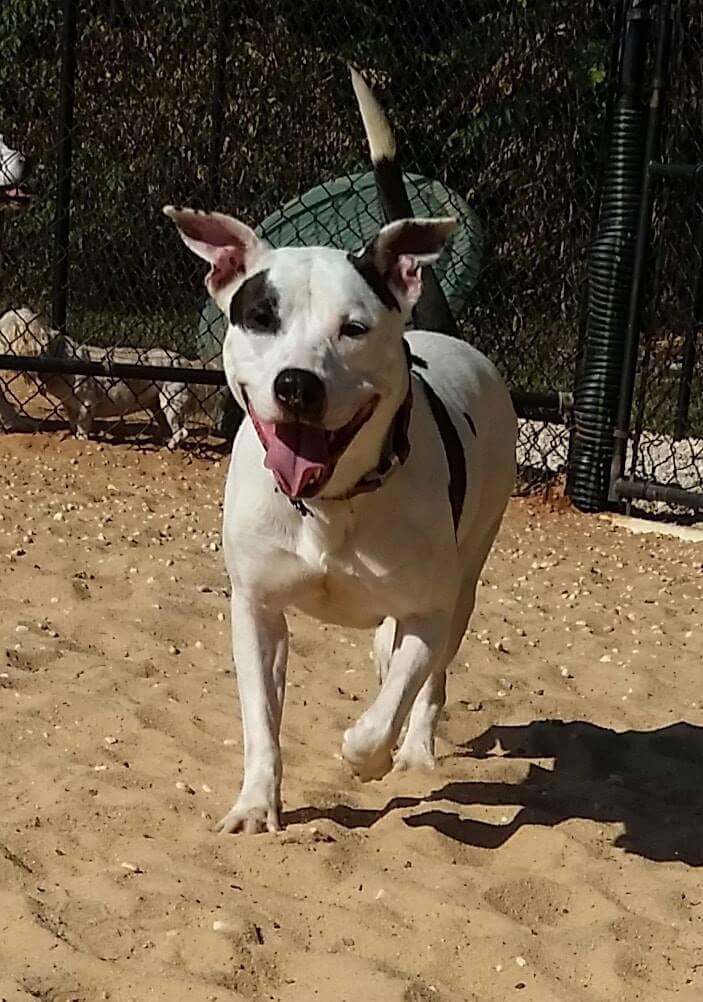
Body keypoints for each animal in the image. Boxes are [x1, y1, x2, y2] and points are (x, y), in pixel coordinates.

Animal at [164, 70, 516, 833]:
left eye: (353, 328)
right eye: (260, 317)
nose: (296, 384)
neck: (329, 505)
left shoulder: (429, 607)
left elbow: (394, 696)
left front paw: (368, 755)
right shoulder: (255, 610)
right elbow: (261, 721)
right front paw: (256, 803)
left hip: (471, 569)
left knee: (428, 677)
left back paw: (415, 749)